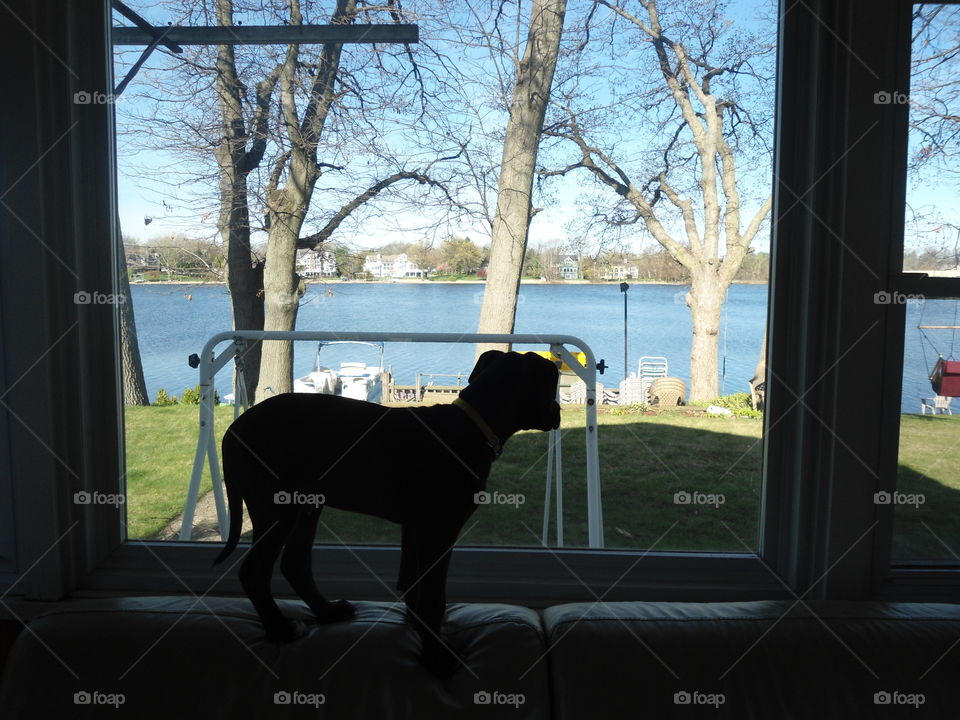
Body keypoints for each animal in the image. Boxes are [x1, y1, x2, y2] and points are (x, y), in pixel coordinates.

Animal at [214, 348, 560, 676]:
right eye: (551, 386)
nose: (557, 413)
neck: (473, 425)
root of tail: (232, 431)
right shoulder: (439, 530)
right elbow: (433, 597)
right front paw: (437, 659)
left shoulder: (417, 529)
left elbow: (414, 584)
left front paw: (420, 630)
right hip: (277, 508)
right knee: (254, 572)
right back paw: (280, 629)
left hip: (306, 505)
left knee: (295, 565)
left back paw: (327, 613)